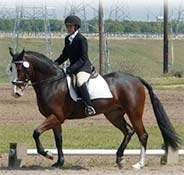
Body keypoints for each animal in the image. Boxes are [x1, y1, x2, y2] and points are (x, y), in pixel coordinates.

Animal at [9, 48, 180, 170]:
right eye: (12, 69)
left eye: (22, 68)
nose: (16, 93)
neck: (52, 83)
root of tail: (136, 79)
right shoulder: (55, 119)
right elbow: (58, 140)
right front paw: (58, 162)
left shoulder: (56, 116)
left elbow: (36, 132)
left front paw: (48, 154)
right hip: (114, 115)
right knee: (128, 131)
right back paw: (119, 159)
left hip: (134, 113)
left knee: (142, 134)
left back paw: (139, 164)